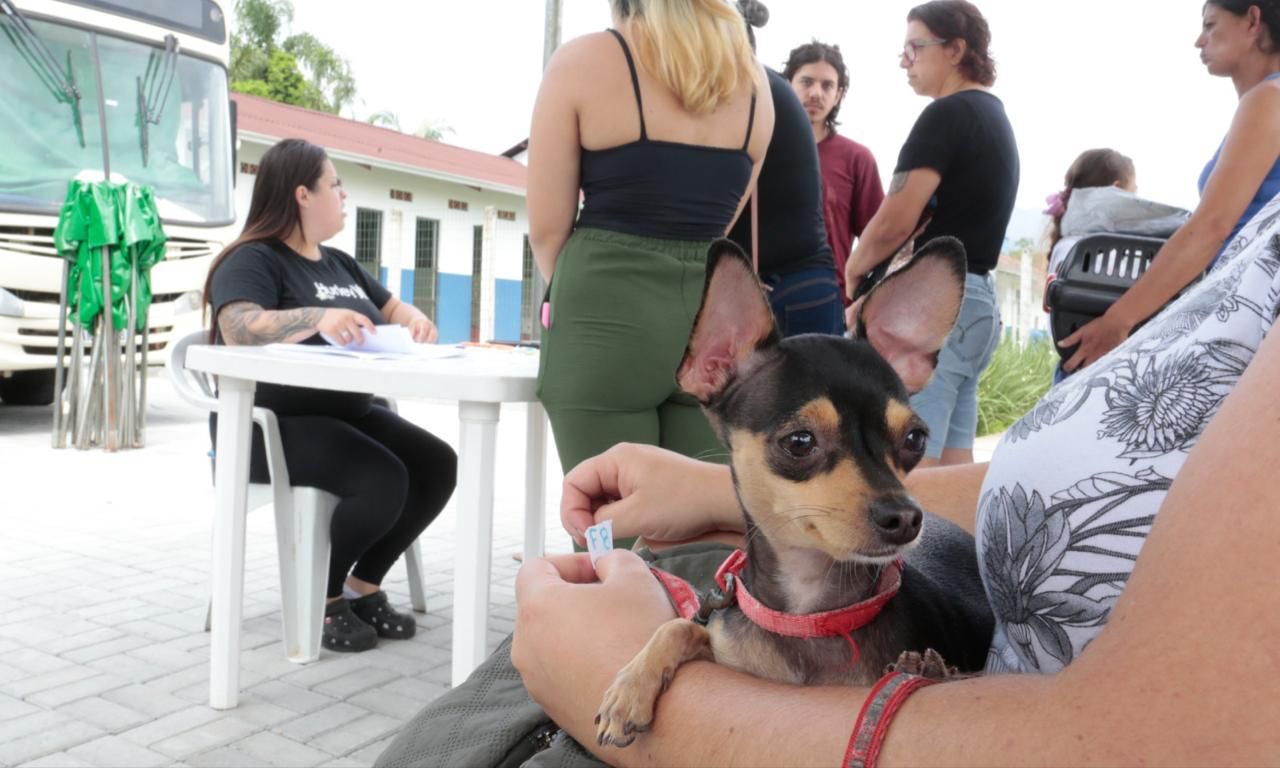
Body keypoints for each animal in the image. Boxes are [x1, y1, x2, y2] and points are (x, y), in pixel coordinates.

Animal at [593, 236, 993, 747]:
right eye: (799, 442)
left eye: (915, 439)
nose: (905, 517)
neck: (807, 618)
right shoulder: (726, 636)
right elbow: (683, 625)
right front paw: (630, 688)